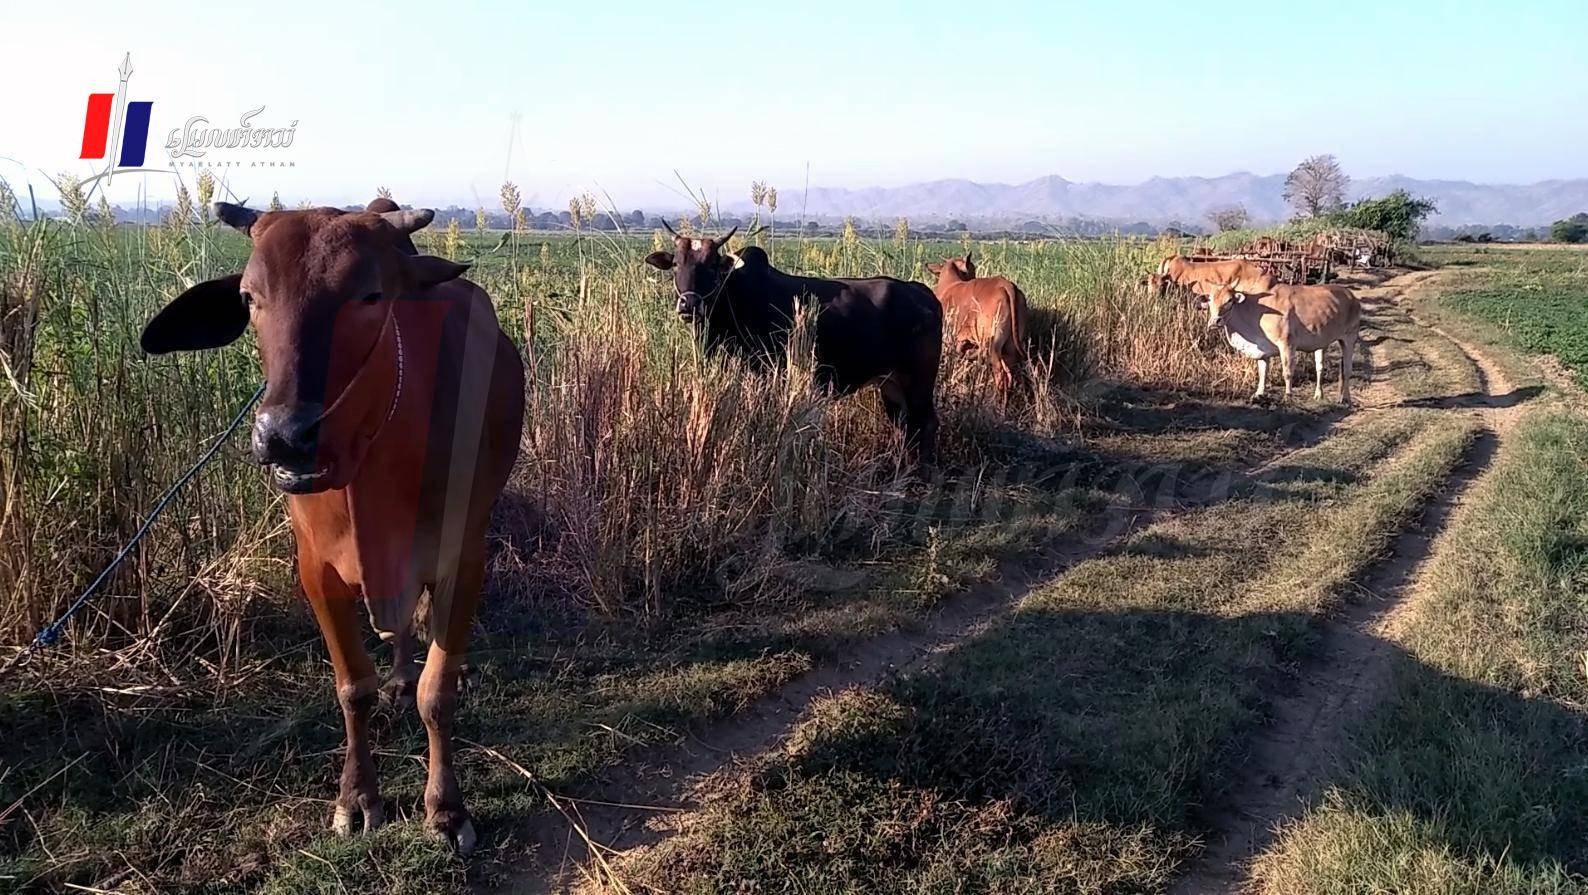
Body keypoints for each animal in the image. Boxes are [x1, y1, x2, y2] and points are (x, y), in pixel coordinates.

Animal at [136, 197, 520, 850]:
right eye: (250, 297)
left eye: (370, 295)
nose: (285, 437)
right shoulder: (316, 568)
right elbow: (352, 689)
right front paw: (357, 797)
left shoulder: (463, 554)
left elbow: (437, 693)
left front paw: (446, 808)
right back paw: (397, 678)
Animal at [644, 226, 940, 466]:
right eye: (676, 264)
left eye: (712, 265)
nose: (689, 304)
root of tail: (922, 292)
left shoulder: (765, 373)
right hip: (891, 384)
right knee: (905, 426)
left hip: (919, 382)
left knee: (926, 424)